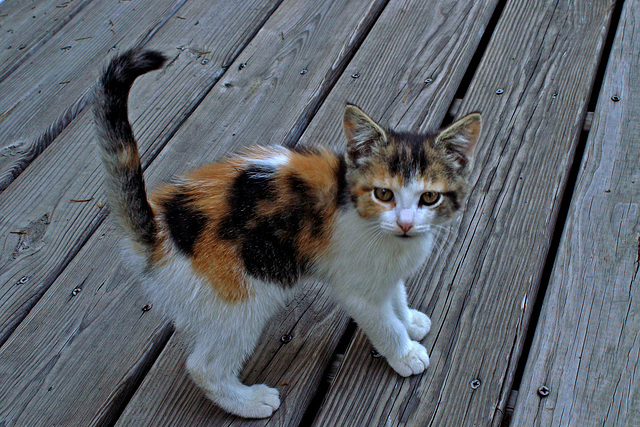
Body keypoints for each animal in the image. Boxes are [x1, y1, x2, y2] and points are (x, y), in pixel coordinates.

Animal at [94, 48, 480, 420]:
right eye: (383, 194)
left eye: (429, 197)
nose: (405, 223)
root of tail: (159, 230)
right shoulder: (356, 287)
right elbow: (383, 322)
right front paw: (405, 353)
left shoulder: (382, 273)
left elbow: (395, 295)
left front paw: (410, 321)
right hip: (242, 301)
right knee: (204, 367)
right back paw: (249, 402)